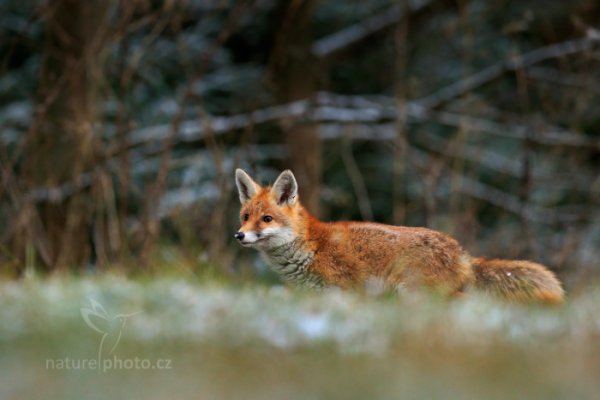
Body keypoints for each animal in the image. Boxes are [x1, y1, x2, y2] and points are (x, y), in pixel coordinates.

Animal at [233, 168, 564, 304]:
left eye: (267, 219)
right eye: (245, 217)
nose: (239, 235)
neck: (311, 247)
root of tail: (462, 254)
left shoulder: (346, 291)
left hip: (415, 292)